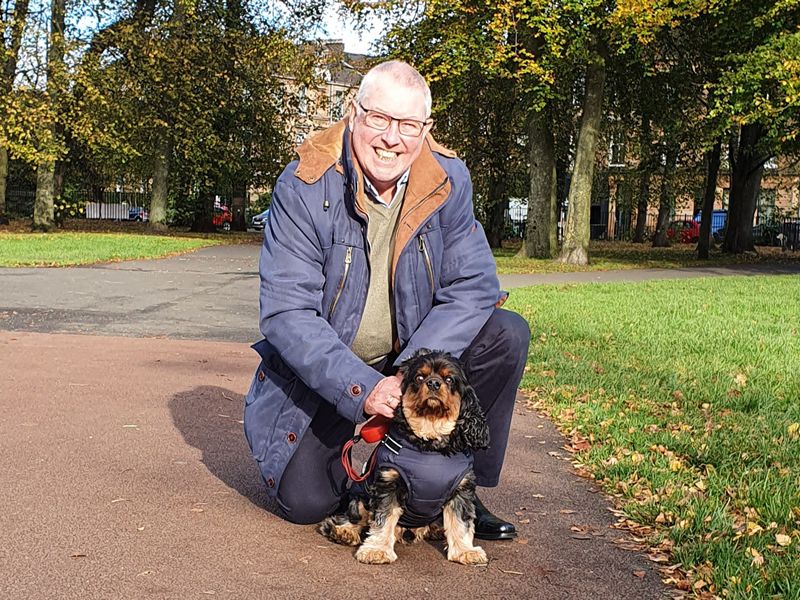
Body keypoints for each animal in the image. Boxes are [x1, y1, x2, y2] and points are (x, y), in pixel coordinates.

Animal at [318, 350, 490, 564]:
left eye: (449, 379)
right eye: (419, 377)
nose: (433, 383)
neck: (429, 443)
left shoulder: (461, 489)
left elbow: (461, 522)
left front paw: (465, 551)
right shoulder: (388, 483)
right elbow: (382, 519)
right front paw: (377, 550)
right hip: (360, 496)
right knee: (355, 515)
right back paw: (343, 531)